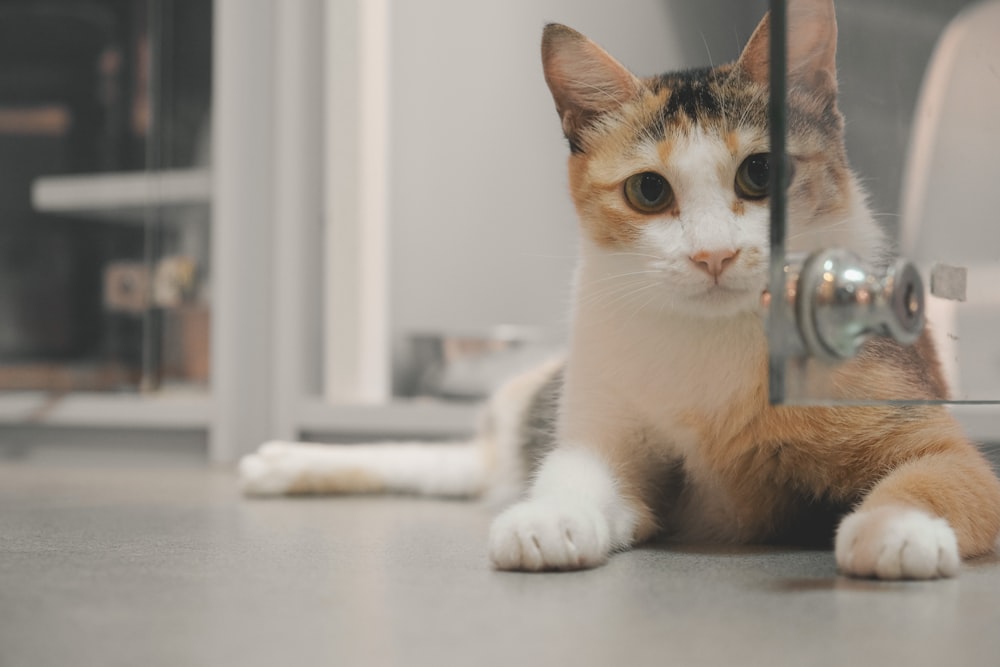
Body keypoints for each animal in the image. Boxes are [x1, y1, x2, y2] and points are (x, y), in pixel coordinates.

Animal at [240, 0, 1000, 580]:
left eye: (761, 173)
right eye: (649, 191)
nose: (714, 254)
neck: (712, 343)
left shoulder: (929, 430)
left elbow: (937, 475)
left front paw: (896, 528)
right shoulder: (603, 435)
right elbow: (578, 472)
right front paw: (551, 518)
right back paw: (284, 461)